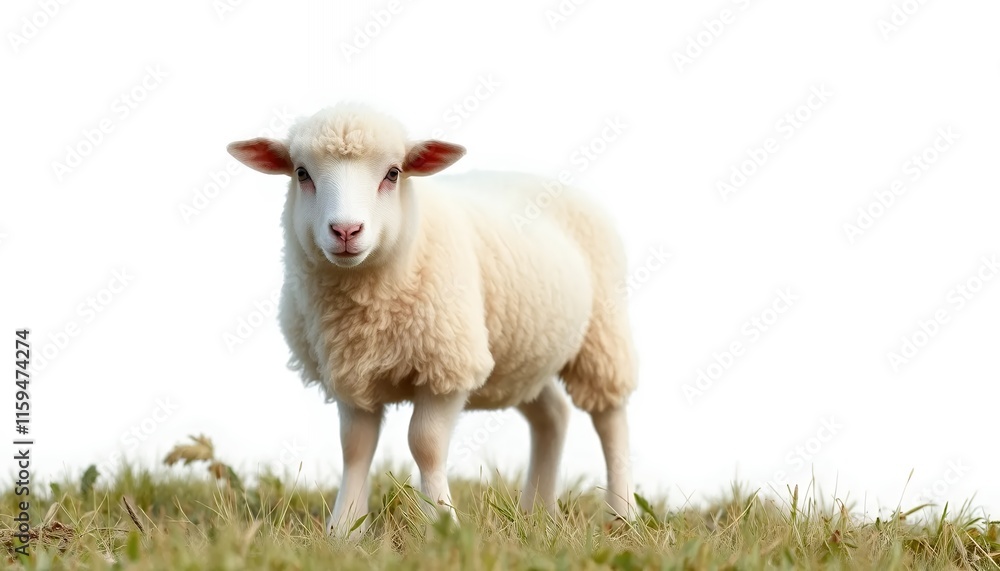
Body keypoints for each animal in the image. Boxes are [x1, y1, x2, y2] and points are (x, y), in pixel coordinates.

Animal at [226, 103, 638, 536]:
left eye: (393, 174)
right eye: (302, 173)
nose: (345, 230)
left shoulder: (447, 366)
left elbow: (424, 445)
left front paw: (442, 523)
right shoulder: (350, 373)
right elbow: (355, 448)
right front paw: (344, 530)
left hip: (603, 333)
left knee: (610, 420)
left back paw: (622, 513)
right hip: (521, 354)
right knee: (553, 416)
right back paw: (536, 514)